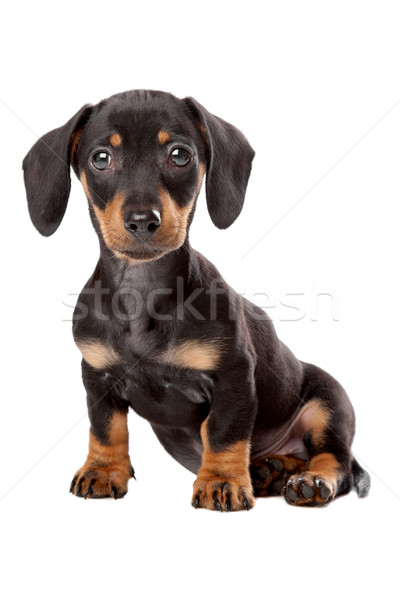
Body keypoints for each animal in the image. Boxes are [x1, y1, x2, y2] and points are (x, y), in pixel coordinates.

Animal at [23, 90, 370, 510]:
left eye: (179, 155)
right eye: (101, 158)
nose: (143, 221)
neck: (144, 291)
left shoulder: (233, 376)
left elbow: (223, 433)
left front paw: (221, 481)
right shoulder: (97, 375)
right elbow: (106, 429)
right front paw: (103, 471)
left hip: (329, 402)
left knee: (335, 458)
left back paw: (311, 481)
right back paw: (270, 470)